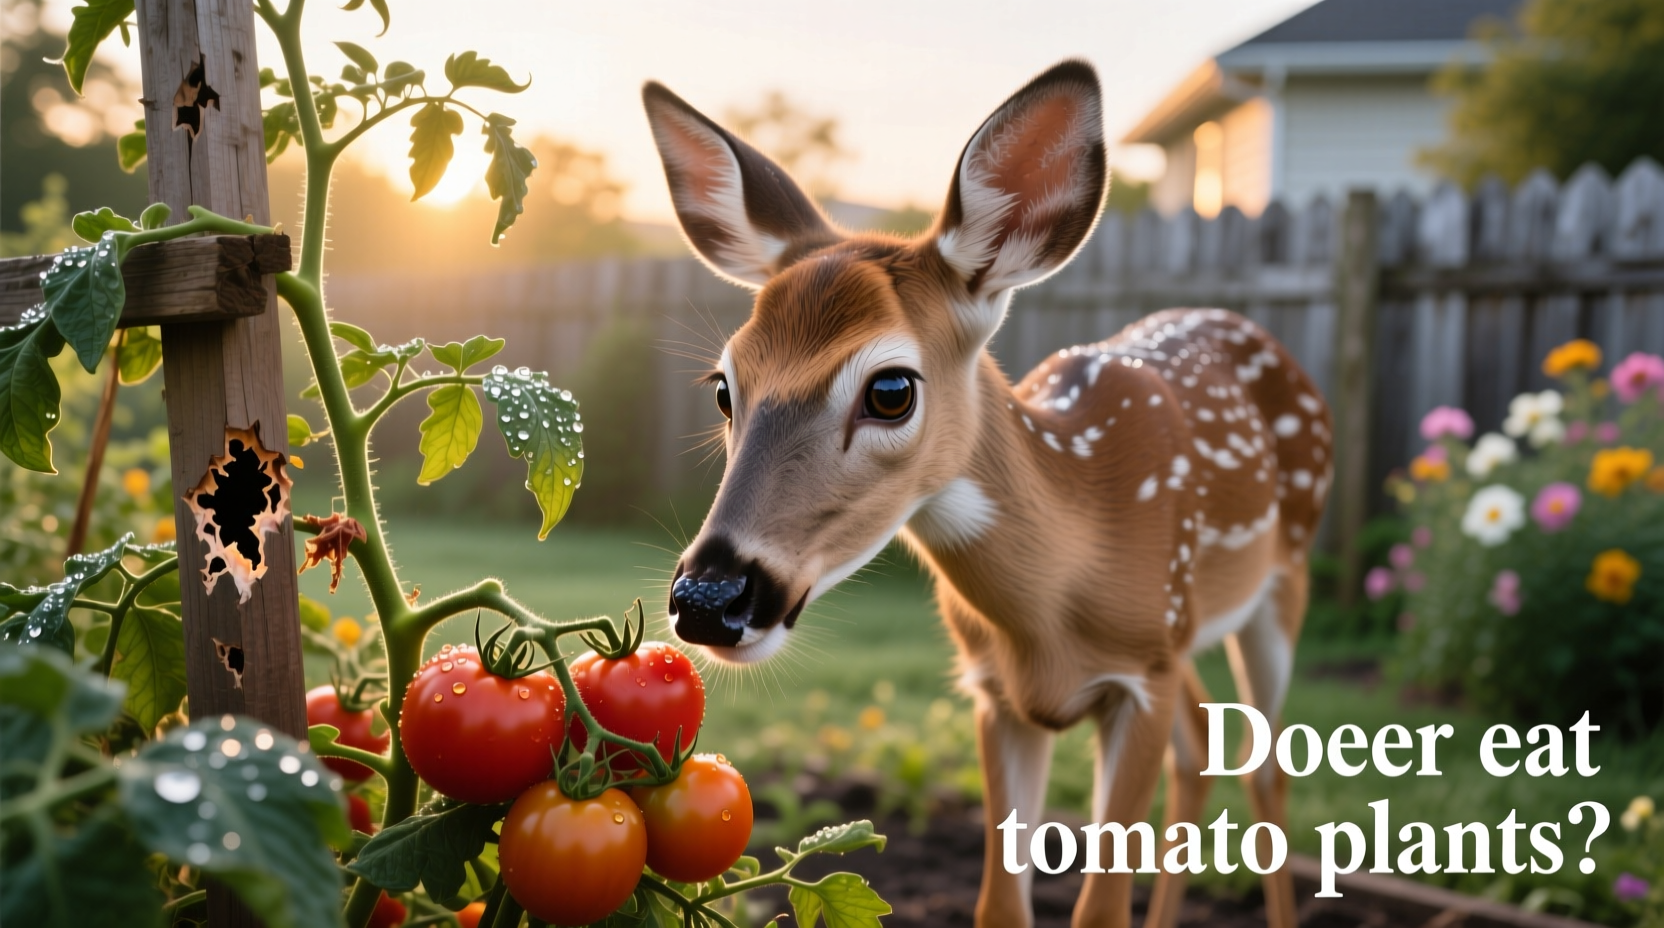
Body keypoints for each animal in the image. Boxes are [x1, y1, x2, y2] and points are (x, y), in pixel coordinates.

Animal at [641, 59, 1332, 928]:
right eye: (724, 389)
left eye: (891, 389)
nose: (709, 598)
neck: (1054, 606)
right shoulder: (999, 692)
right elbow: (1001, 904)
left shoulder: (1143, 674)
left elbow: (1099, 909)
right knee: (1203, 744)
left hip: (1282, 581)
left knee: (1265, 766)